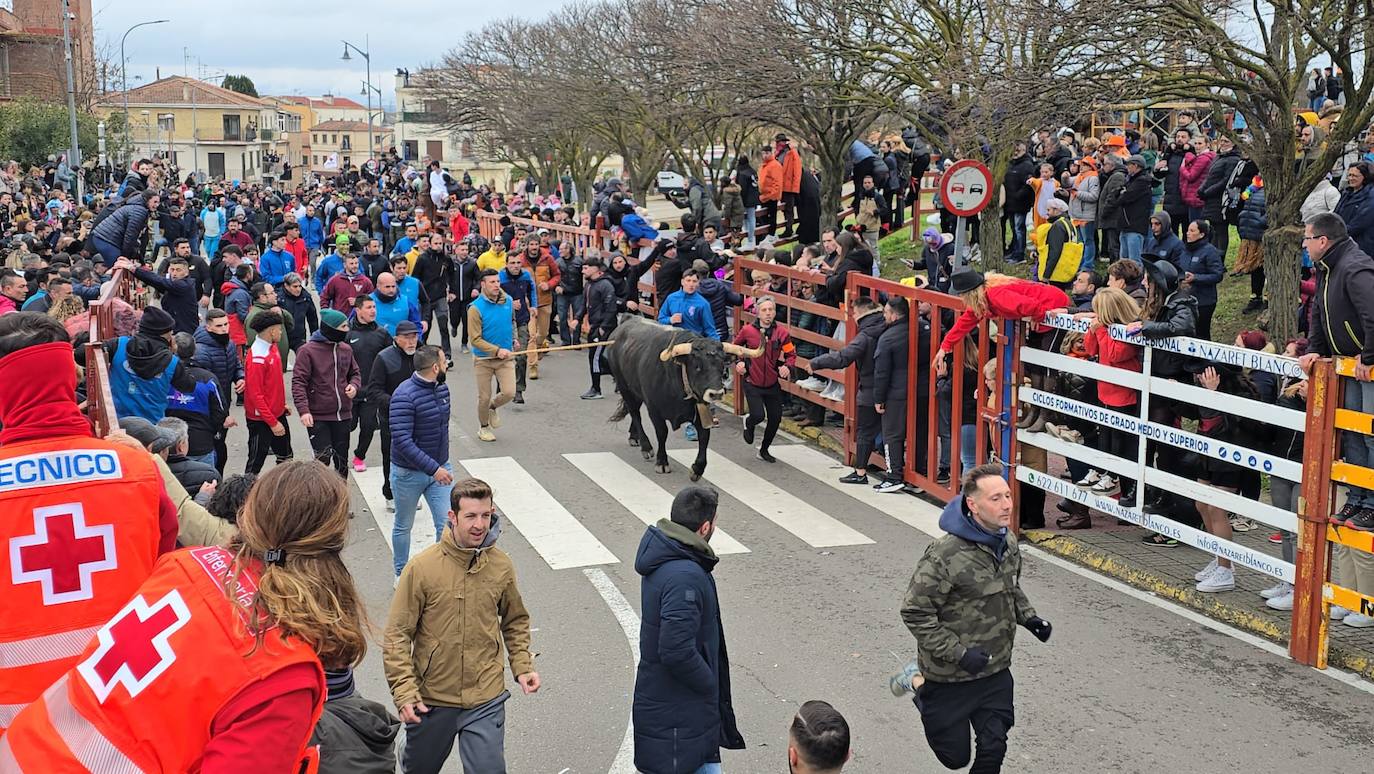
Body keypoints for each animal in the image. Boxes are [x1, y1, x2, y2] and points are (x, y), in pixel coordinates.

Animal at [610, 314, 763, 478]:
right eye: (697, 366)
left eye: (722, 366)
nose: (716, 394)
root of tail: (628, 319)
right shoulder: (654, 410)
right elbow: (662, 433)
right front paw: (662, 462)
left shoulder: (700, 409)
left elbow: (704, 436)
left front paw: (697, 468)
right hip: (624, 386)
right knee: (635, 413)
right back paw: (645, 446)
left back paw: (634, 437)